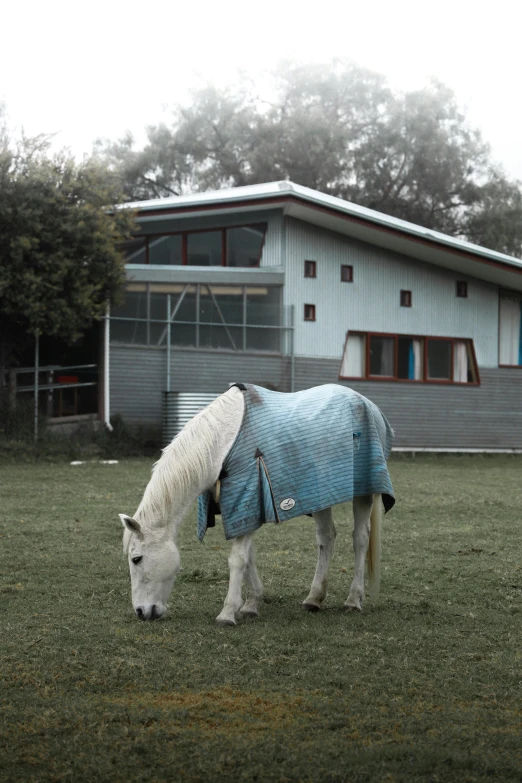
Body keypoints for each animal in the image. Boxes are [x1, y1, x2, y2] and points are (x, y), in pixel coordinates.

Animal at [119, 382, 394, 628]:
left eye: (136, 559)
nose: (141, 612)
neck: (221, 444)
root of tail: (369, 405)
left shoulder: (246, 499)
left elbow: (237, 559)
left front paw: (227, 613)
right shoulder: (242, 510)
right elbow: (249, 557)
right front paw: (251, 604)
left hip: (364, 493)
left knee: (360, 539)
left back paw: (353, 600)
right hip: (320, 495)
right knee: (327, 537)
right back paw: (314, 599)